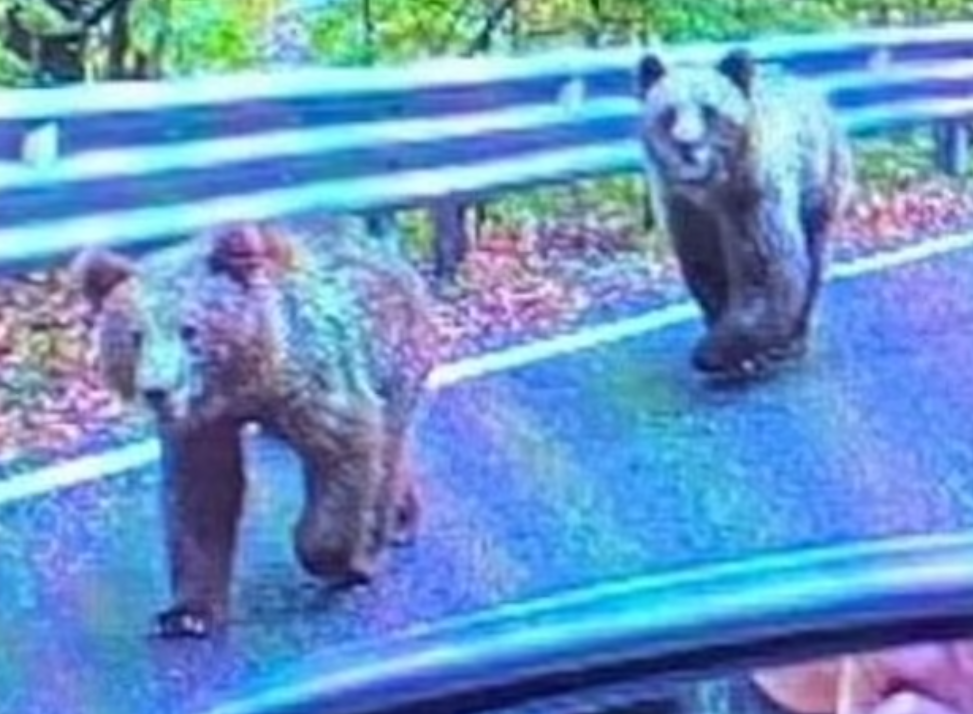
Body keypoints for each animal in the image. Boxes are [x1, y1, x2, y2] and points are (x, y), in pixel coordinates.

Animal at [71, 218, 437, 638]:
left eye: (189, 330)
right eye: (135, 336)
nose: (156, 390)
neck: (244, 383)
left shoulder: (318, 379)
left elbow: (345, 450)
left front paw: (341, 562)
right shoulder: (200, 425)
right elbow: (202, 495)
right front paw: (186, 614)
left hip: (392, 358)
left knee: (388, 451)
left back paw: (389, 530)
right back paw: (402, 517)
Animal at [637, 48, 855, 379]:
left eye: (709, 110)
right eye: (668, 113)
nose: (686, 145)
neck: (713, 191)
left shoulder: (752, 200)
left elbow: (768, 274)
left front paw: (715, 351)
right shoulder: (686, 213)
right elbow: (707, 271)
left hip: (821, 180)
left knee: (815, 256)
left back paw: (796, 337)